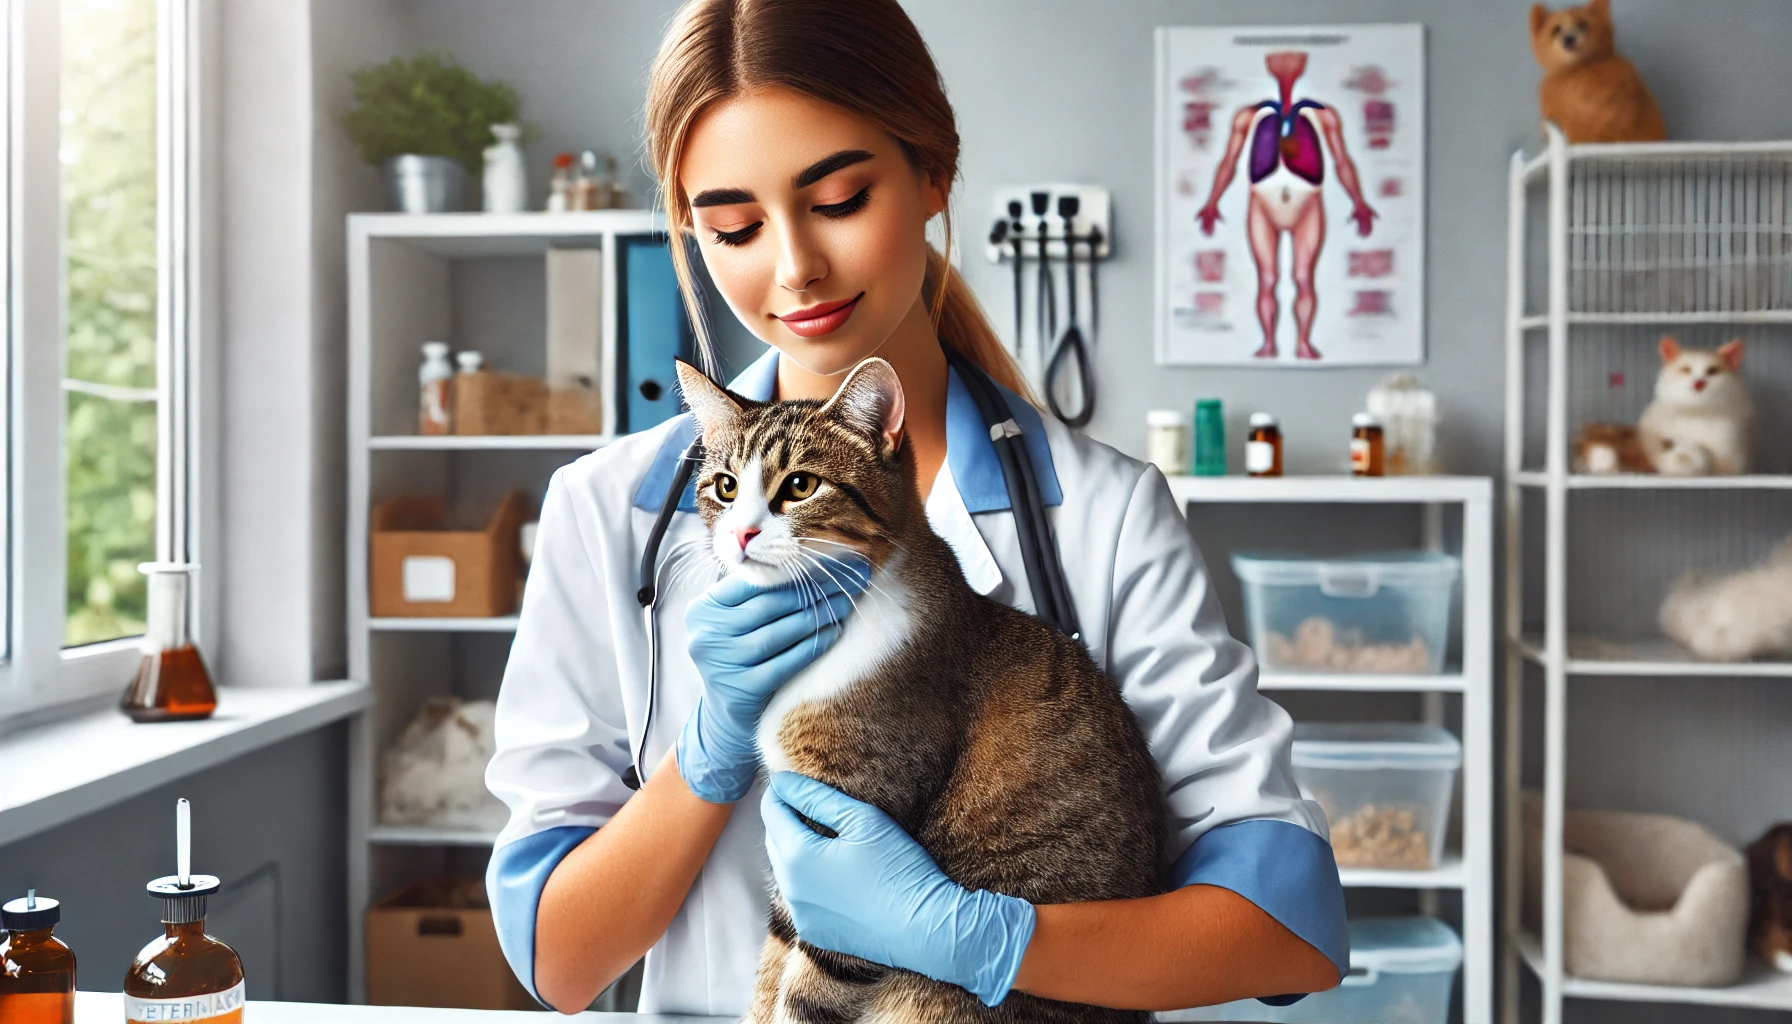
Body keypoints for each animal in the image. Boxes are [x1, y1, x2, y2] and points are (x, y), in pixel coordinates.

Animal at [673, 355, 1161, 1024]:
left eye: (800, 486)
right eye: (724, 487)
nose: (742, 534)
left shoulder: (847, 834)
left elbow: (814, 979)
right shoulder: (799, 849)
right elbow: (777, 946)